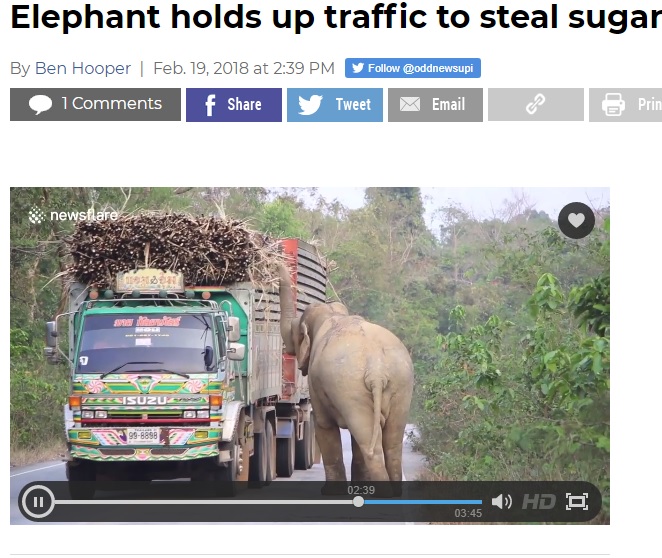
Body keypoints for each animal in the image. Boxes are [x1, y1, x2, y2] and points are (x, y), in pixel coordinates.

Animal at [276, 264, 412, 484]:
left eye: (296, 332)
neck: (333, 315)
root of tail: (376, 369)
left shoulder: (316, 384)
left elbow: (324, 427)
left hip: (350, 389)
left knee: (371, 448)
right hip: (401, 385)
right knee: (391, 446)